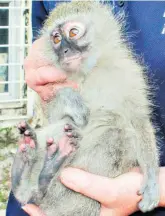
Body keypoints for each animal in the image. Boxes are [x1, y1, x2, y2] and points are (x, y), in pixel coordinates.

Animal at [11, 0, 160, 215]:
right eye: (56, 39)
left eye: (73, 33)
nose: (65, 51)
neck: (90, 70)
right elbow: (56, 115)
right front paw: (69, 96)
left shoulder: (130, 72)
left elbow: (138, 120)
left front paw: (152, 180)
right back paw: (27, 178)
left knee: (114, 132)